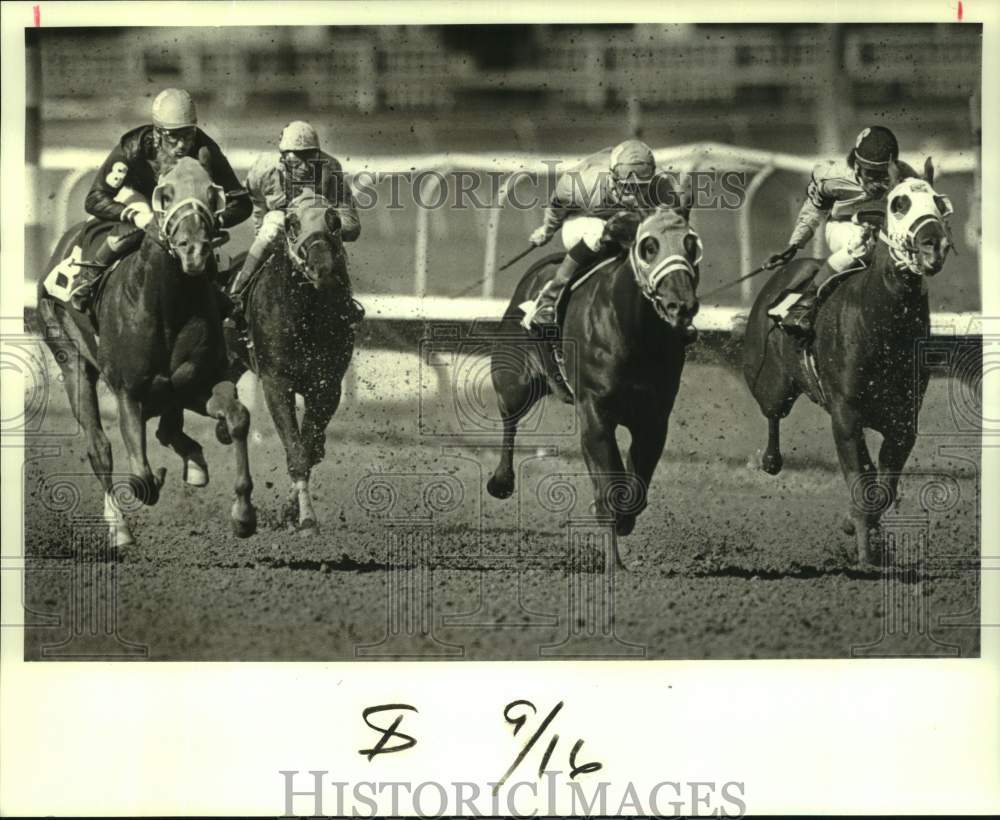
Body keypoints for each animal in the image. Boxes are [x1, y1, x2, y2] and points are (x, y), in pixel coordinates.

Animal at [36, 157, 258, 548]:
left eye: (212, 194)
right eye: (164, 195)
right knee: (100, 447)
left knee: (169, 429)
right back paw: (120, 528)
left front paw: (243, 514)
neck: (165, 306)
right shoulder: (130, 392)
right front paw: (154, 481)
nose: (193, 250)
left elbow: (237, 418)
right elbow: (140, 475)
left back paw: (194, 463)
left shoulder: (198, 382)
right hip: (70, 359)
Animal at [225, 191, 358, 532]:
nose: (323, 269)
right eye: (293, 223)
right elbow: (296, 451)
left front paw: (291, 511)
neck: (305, 315)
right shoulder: (276, 383)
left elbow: (310, 449)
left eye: (334, 221)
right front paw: (307, 518)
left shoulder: (327, 385)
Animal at [488, 210, 700, 552]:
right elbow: (608, 485)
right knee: (510, 420)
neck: (634, 334)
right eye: (648, 246)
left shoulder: (654, 418)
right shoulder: (595, 413)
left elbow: (633, 486)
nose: (681, 304)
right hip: (514, 381)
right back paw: (501, 481)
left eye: (691, 245)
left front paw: (623, 519)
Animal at [744, 175, 952, 564]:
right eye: (898, 204)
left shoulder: (903, 422)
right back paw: (771, 460)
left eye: (939, 202)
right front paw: (866, 556)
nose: (935, 244)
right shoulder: (846, 416)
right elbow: (861, 481)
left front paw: (860, 529)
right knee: (772, 415)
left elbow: (881, 488)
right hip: (771, 384)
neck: (884, 327)